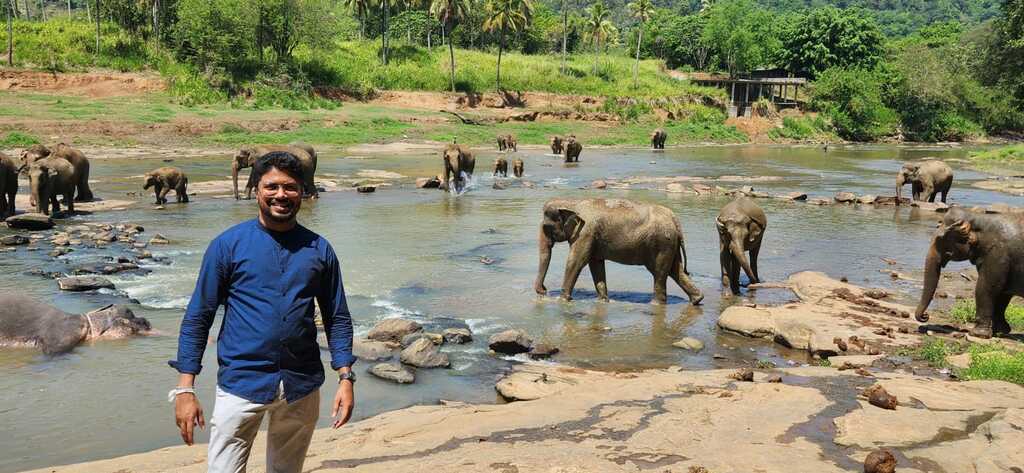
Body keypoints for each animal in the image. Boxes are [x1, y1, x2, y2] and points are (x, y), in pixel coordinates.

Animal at [534, 198, 704, 305]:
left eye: (546, 227)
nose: (544, 291)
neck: (572, 202)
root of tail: (675, 220)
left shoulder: (586, 233)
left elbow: (576, 261)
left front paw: (562, 301)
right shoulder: (593, 237)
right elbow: (596, 264)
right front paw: (603, 301)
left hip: (661, 243)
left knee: (660, 272)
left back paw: (655, 304)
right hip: (670, 244)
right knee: (675, 270)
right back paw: (697, 300)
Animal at [915, 207, 1024, 338]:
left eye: (940, 240)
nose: (925, 316)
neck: (978, 218)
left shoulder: (998, 255)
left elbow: (986, 288)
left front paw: (977, 334)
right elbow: (1003, 293)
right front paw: (1000, 331)